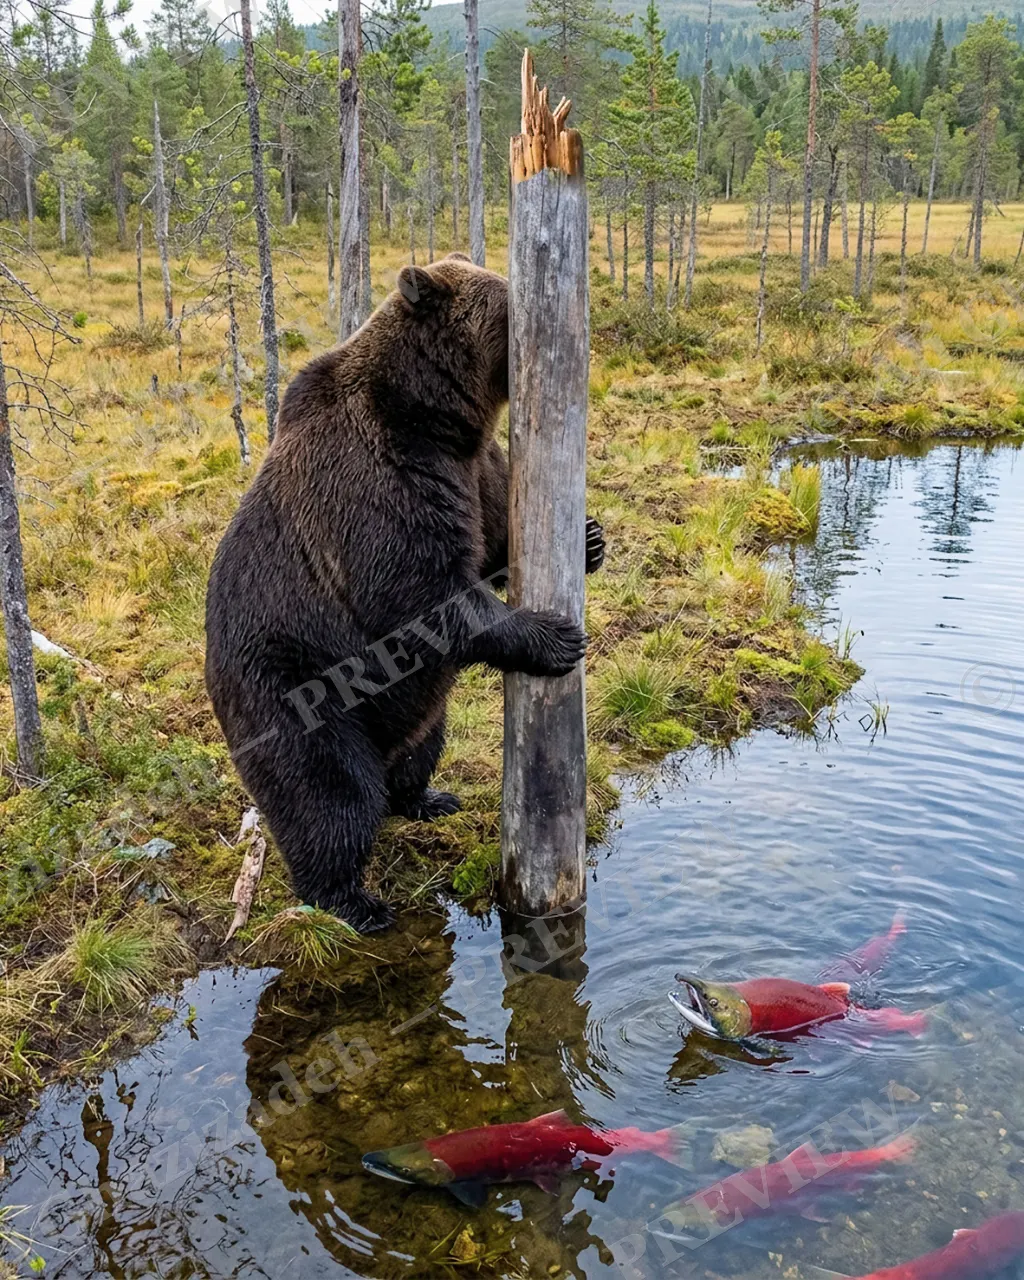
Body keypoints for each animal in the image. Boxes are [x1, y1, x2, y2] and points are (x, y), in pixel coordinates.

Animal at [205, 253, 604, 932]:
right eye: (512, 302)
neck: (433, 417)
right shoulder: (376, 480)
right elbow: (419, 593)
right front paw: (553, 637)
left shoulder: (475, 470)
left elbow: (493, 547)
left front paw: (590, 540)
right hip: (291, 688)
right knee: (331, 796)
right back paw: (354, 901)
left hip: (412, 715)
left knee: (419, 750)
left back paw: (427, 797)